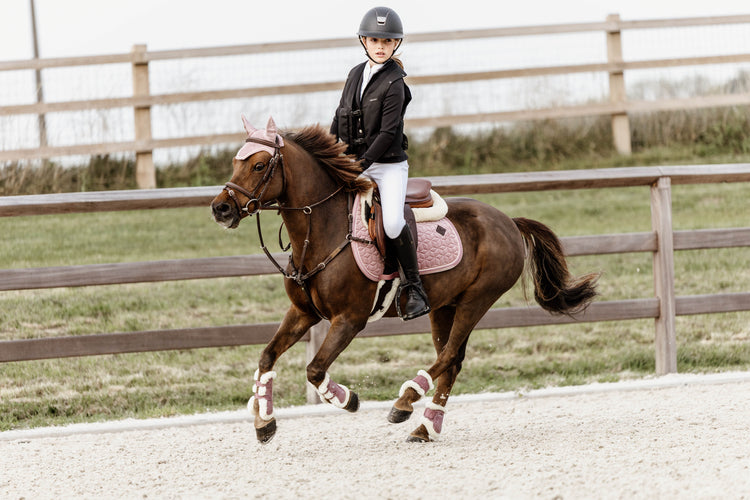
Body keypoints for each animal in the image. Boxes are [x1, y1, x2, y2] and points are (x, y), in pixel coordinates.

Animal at [212, 117, 600, 442]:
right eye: (235, 162)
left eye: (259, 165)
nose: (220, 209)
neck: (322, 229)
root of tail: (507, 220)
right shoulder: (304, 313)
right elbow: (267, 357)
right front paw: (264, 420)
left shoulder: (349, 319)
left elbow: (315, 369)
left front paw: (348, 399)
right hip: (443, 306)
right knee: (452, 362)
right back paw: (425, 427)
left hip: (477, 300)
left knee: (448, 357)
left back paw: (405, 402)